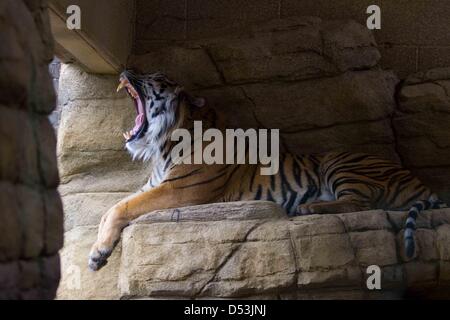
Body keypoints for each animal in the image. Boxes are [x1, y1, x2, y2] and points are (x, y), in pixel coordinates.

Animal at [88, 71, 446, 272]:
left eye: (156, 79)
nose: (124, 70)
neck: (163, 146)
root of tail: (419, 181)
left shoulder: (179, 190)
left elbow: (120, 207)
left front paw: (98, 251)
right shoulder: (155, 185)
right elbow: (110, 208)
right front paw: (97, 252)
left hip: (339, 161)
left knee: (363, 203)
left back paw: (309, 208)